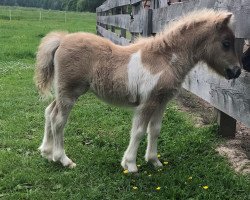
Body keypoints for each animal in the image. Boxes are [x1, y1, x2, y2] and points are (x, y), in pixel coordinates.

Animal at [34, 9, 240, 172]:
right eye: (226, 43)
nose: (236, 71)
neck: (165, 60)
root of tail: (62, 40)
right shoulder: (147, 102)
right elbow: (139, 131)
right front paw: (131, 165)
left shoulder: (162, 101)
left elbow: (154, 130)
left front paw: (154, 161)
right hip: (69, 93)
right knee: (59, 120)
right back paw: (63, 159)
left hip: (64, 92)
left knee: (49, 112)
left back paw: (46, 152)